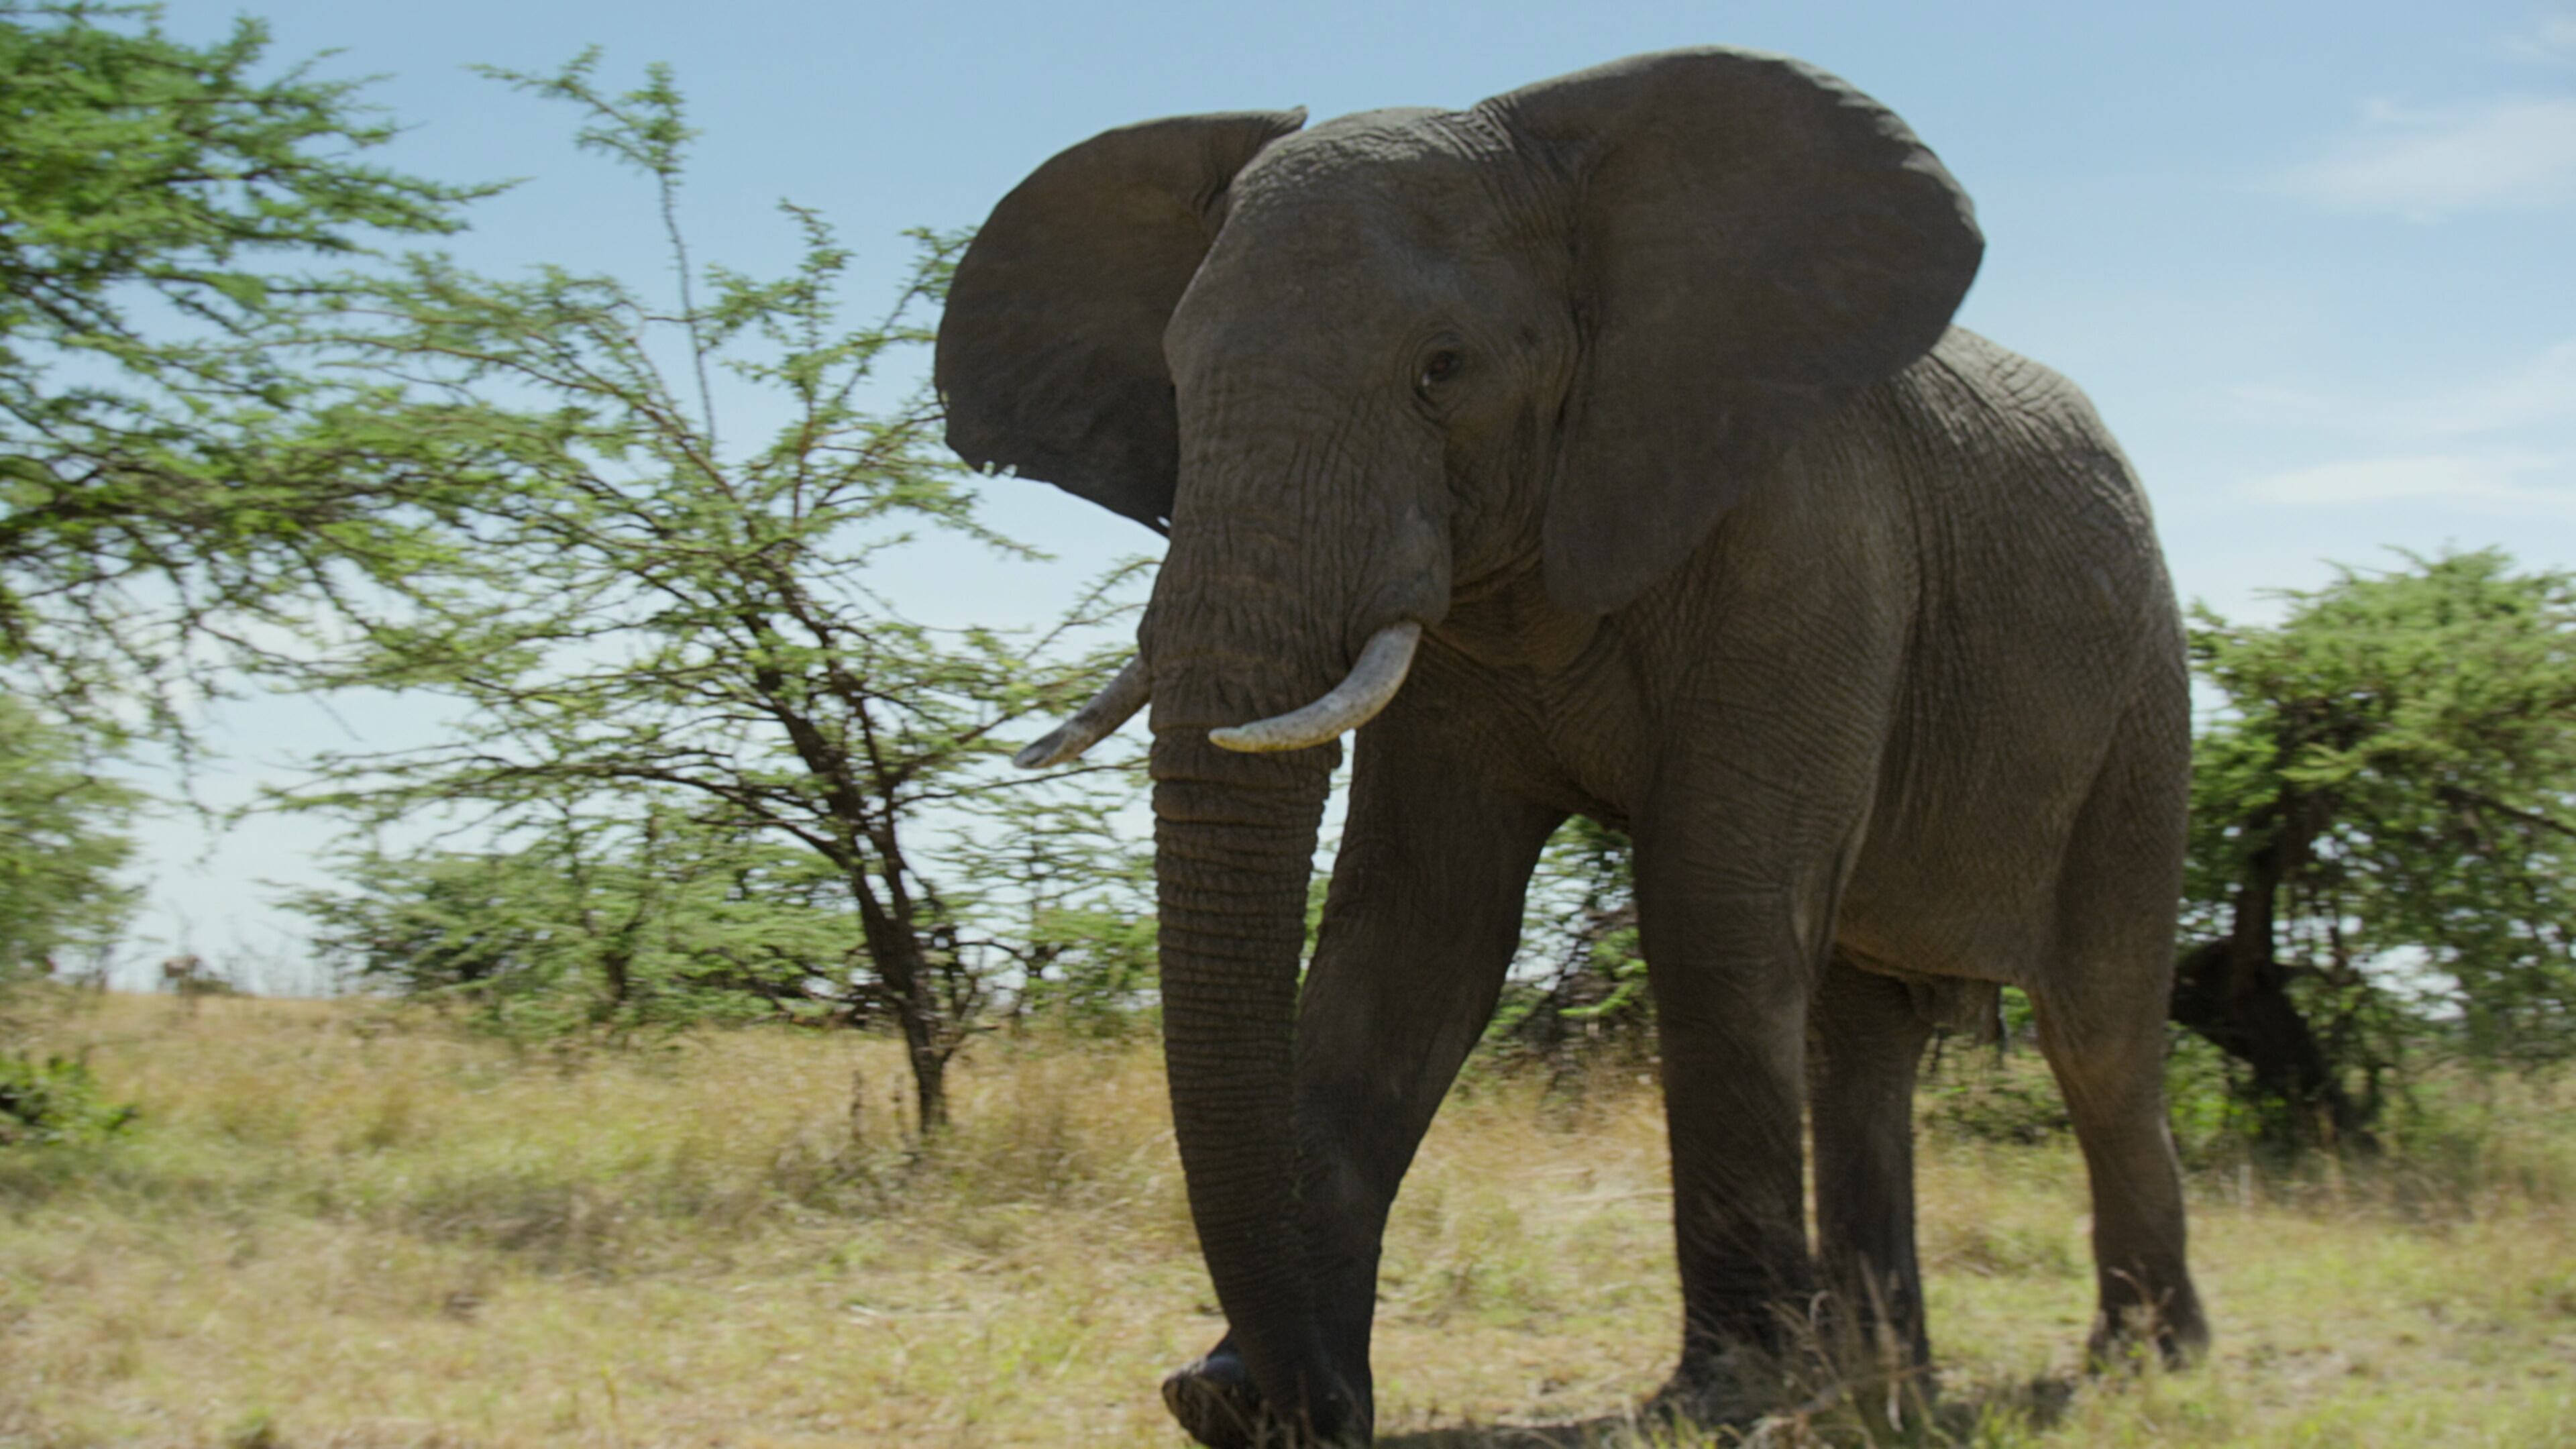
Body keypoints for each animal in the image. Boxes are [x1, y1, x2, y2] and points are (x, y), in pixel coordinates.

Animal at [937, 48, 2205, 1444]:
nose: (1310, 1399)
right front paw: (1228, 1400)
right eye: (1172, 381)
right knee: (1861, 1041)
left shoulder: (1810, 534)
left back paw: (2146, 1362)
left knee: (2100, 1032)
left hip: (2143, 710)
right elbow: (1412, 935)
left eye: (1442, 368)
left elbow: (1713, 911)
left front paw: (1730, 1398)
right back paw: (1888, 1381)